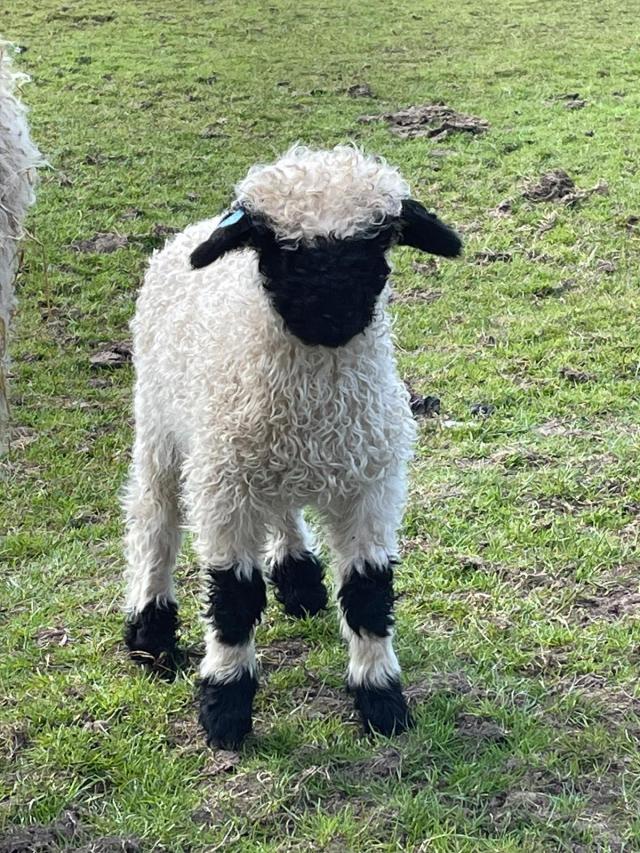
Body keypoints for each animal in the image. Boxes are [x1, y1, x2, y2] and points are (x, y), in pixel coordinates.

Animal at [123, 144, 461, 748]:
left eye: (375, 242)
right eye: (276, 248)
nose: (330, 313)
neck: (312, 405)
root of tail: (190, 232)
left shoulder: (369, 485)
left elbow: (369, 594)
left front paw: (382, 702)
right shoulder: (223, 487)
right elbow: (233, 599)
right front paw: (225, 709)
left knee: (281, 508)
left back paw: (299, 579)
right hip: (161, 427)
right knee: (153, 518)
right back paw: (150, 627)